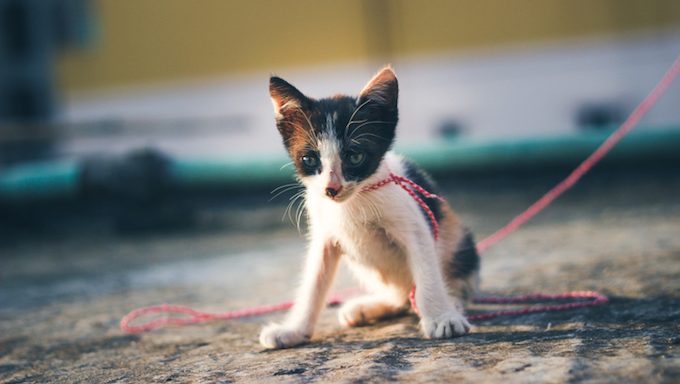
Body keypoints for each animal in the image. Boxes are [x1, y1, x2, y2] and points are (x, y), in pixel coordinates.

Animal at [258, 66, 478, 348]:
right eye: (309, 159)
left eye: (355, 156)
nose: (331, 188)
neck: (353, 201)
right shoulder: (324, 236)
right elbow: (314, 282)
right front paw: (294, 330)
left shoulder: (414, 223)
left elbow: (427, 272)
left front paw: (442, 317)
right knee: (400, 296)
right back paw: (367, 307)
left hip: (457, 240)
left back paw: (452, 303)